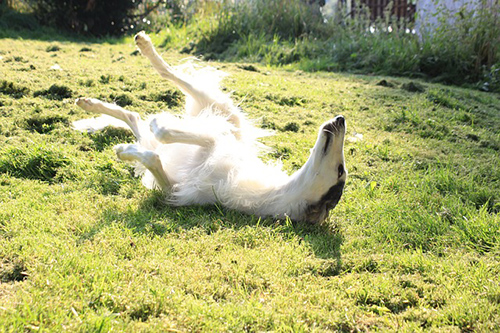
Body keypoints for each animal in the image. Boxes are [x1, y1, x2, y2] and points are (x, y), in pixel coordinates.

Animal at [73, 31, 348, 223]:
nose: (341, 119)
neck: (265, 192)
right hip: (214, 104)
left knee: (135, 117)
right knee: (167, 75)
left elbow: (157, 148)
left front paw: (128, 149)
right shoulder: (218, 139)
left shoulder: (176, 187)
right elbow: (169, 137)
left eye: (340, 171)